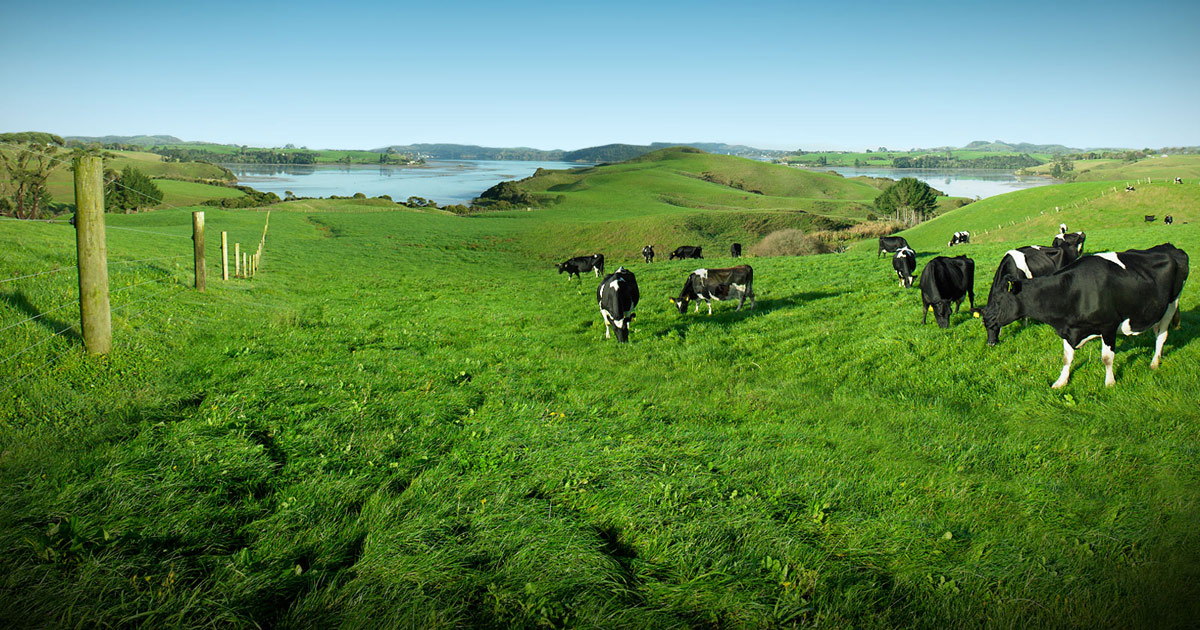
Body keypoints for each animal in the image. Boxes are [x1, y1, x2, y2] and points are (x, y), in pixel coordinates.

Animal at [984, 243, 1190, 386]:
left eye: (998, 301)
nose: (990, 342)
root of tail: (1170, 247)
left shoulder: (1108, 326)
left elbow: (1107, 358)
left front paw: (1110, 383)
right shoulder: (1068, 328)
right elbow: (1067, 358)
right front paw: (1061, 381)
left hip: (1172, 304)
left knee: (1162, 335)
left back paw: (1154, 362)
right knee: (1156, 331)